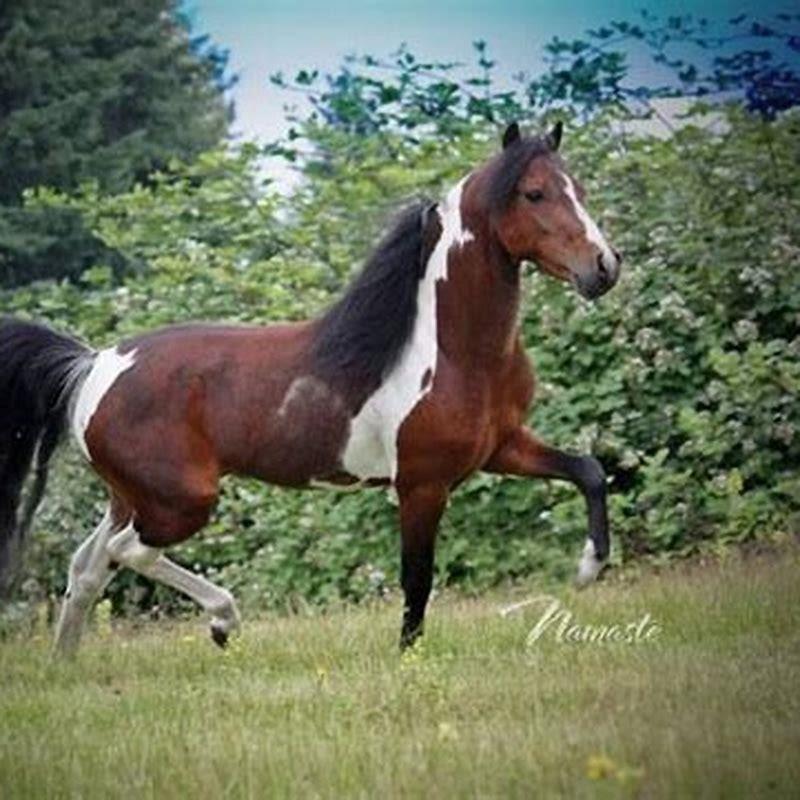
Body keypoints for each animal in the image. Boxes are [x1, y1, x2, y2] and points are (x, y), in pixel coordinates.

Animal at [0, 121, 621, 656]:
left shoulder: (502, 447)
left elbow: (588, 470)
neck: (453, 350)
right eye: (534, 193)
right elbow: (417, 578)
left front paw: (588, 568)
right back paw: (223, 622)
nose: (604, 267)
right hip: (182, 501)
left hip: (132, 497)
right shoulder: (422, 484)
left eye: (581, 189)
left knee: (87, 567)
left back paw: (65, 668)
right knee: (124, 553)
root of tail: (91, 365)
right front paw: (409, 658)